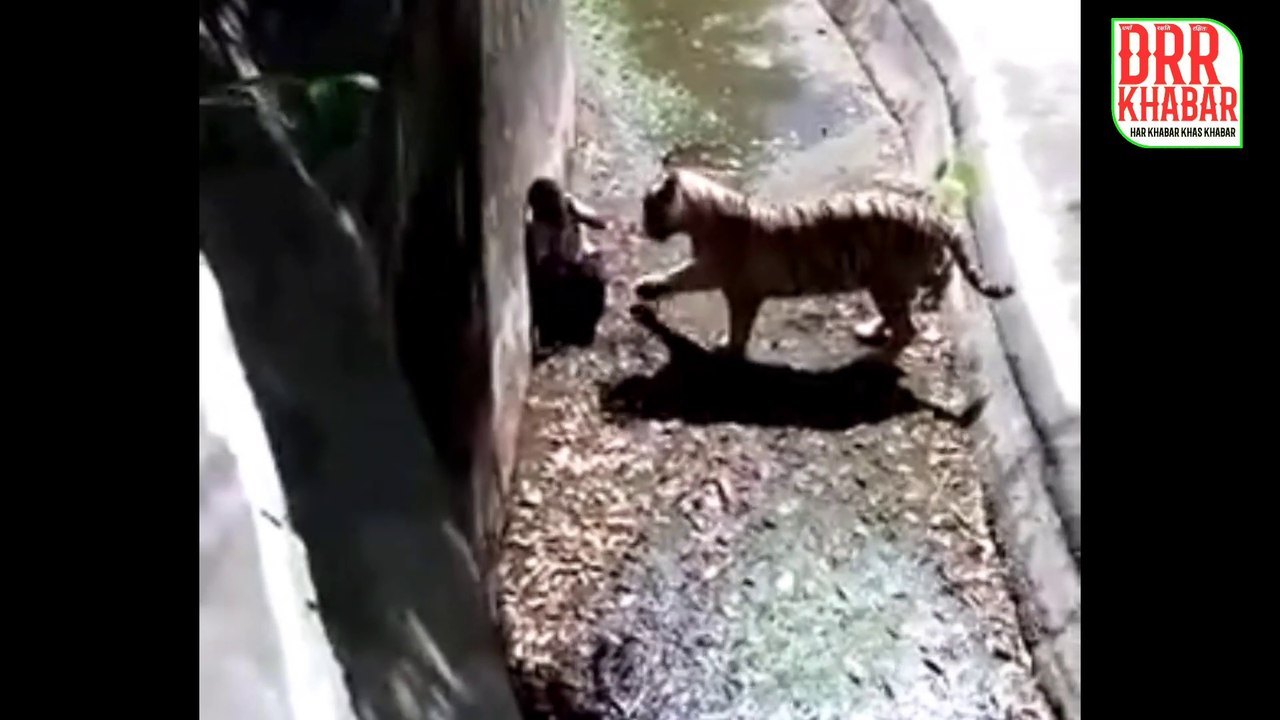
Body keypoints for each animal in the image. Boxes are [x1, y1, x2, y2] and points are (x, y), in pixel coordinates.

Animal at [633, 167, 1014, 362]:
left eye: (650, 209)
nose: (644, 229)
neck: (700, 215)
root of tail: (935, 218)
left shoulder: (722, 277)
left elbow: (683, 280)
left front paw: (727, 347)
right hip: (887, 283)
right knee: (914, 305)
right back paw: (873, 329)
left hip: (888, 283)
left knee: (908, 328)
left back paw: (875, 358)